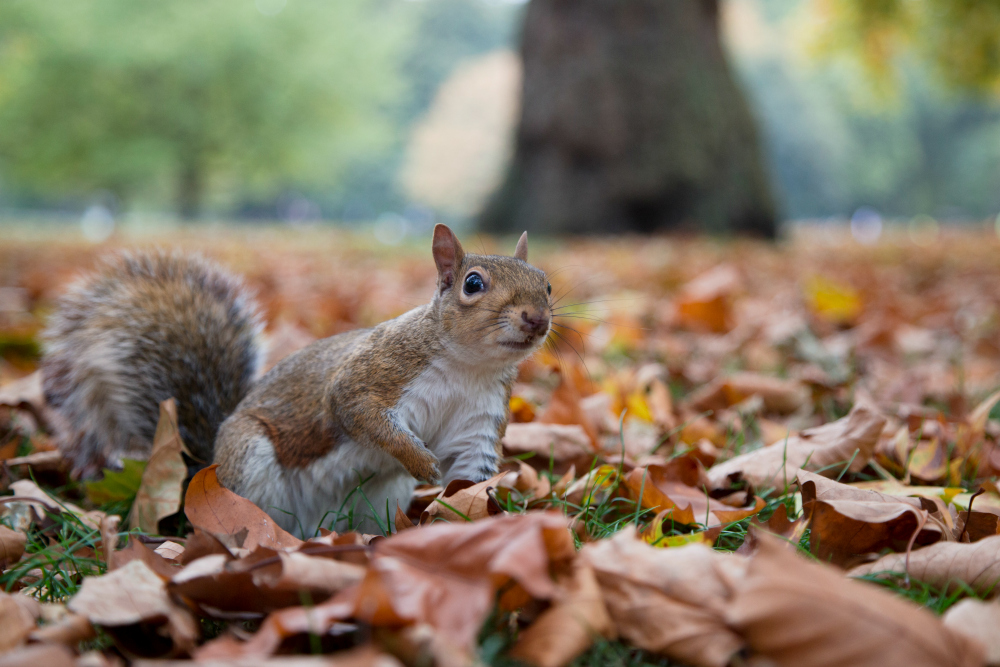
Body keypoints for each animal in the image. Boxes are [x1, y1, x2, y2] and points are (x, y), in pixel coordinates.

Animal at [41, 227, 556, 536]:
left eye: (547, 284)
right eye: (473, 284)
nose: (536, 318)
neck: (468, 367)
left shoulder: (479, 420)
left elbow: (469, 475)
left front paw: (477, 519)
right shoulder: (369, 377)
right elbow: (363, 415)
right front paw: (421, 461)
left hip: (376, 497)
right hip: (249, 464)